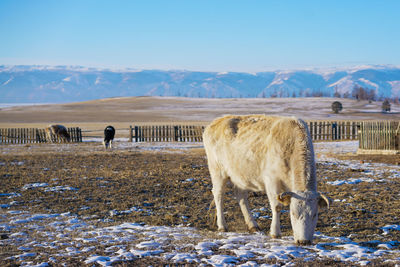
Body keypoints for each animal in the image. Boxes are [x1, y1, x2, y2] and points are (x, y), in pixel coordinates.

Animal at [203, 114, 332, 246]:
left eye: (315, 214)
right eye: (293, 213)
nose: (304, 241)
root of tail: (217, 121)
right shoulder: (271, 180)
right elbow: (277, 206)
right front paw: (275, 232)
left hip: (240, 174)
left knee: (241, 196)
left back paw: (252, 225)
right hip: (217, 171)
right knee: (218, 195)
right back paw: (222, 225)